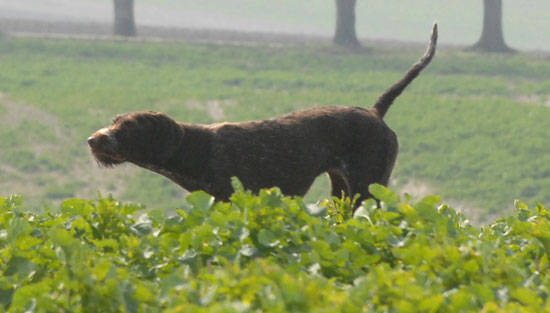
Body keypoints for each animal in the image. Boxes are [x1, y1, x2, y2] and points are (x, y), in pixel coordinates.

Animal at [87, 22, 440, 207]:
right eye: (114, 121)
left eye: (127, 127)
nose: (92, 140)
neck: (194, 148)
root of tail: (375, 112)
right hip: (342, 190)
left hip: (367, 189)